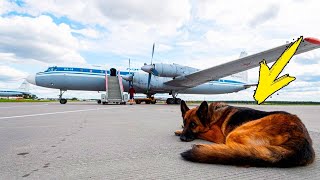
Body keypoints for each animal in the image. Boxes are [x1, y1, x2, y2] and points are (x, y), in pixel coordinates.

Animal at [175, 100, 316, 167]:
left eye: (193, 125)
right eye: (184, 122)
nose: (182, 138)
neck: (210, 116)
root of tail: (301, 135)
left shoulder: (216, 134)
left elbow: (201, 133)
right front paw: (179, 130)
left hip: (234, 134)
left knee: (233, 147)